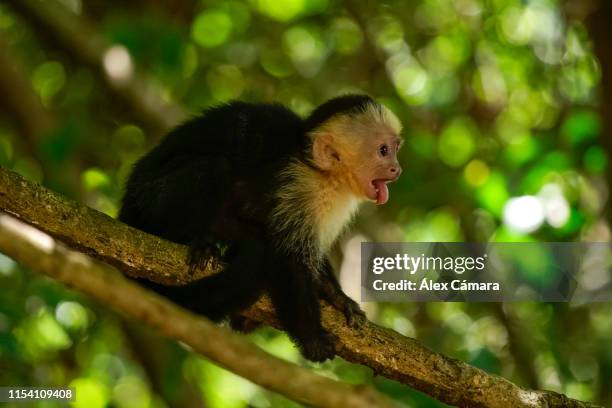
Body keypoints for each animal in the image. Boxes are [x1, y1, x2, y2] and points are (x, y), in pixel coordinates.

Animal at [120, 94, 406, 362]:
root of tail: (127, 206)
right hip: (151, 199)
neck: (321, 172)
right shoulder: (300, 185)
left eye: (395, 148)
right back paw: (196, 241)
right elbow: (290, 258)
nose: (397, 169)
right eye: (382, 150)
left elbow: (310, 253)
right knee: (213, 168)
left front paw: (337, 297)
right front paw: (312, 337)